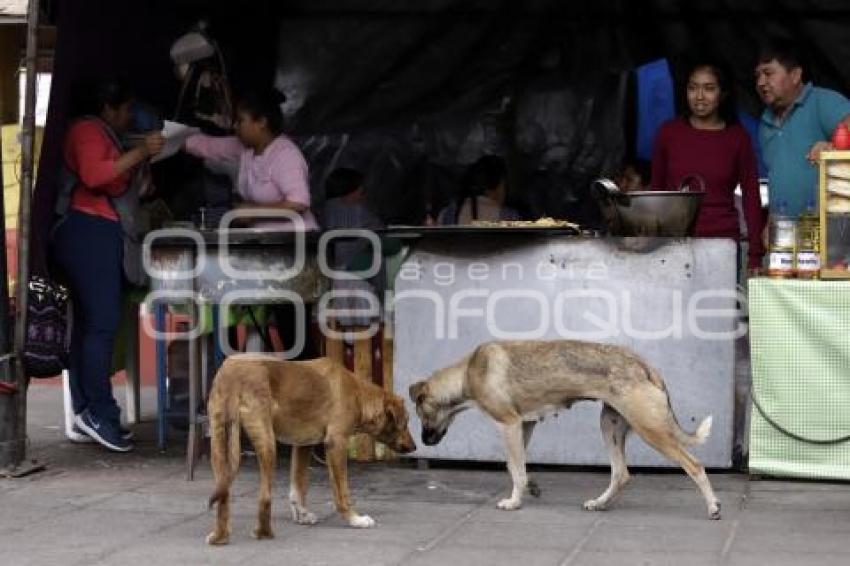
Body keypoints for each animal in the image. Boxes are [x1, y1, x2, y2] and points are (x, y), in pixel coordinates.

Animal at [207, 356, 416, 544]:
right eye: (405, 423)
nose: (414, 447)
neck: (357, 394)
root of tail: (232, 373)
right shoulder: (336, 443)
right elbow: (342, 492)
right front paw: (354, 519)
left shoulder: (302, 445)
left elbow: (298, 486)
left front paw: (302, 515)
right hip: (266, 442)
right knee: (264, 497)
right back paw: (263, 533)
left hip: (219, 441)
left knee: (223, 494)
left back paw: (220, 537)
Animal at [408, 342, 720, 524]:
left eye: (421, 414)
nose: (422, 443)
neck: (468, 372)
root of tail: (647, 367)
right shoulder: (525, 425)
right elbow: (518, 466)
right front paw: (530, 488)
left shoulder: (509, 424)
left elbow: (514, 468)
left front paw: (514, 502)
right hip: (610, 426)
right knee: (620, 474)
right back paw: (599, 503)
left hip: (651, 430)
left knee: (694, 466)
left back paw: (713, 507)